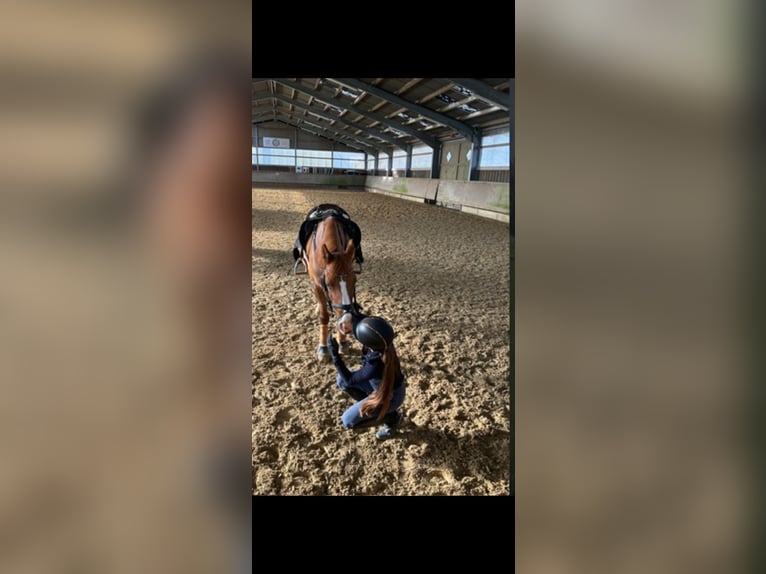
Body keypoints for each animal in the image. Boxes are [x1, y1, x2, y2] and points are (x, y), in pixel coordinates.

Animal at [298, 211, 363, 362]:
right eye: (328, 284)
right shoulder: (317, 285)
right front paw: (323, 348)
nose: (347, 323)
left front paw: (343, 341)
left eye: (355, 281)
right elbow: (324, 316)